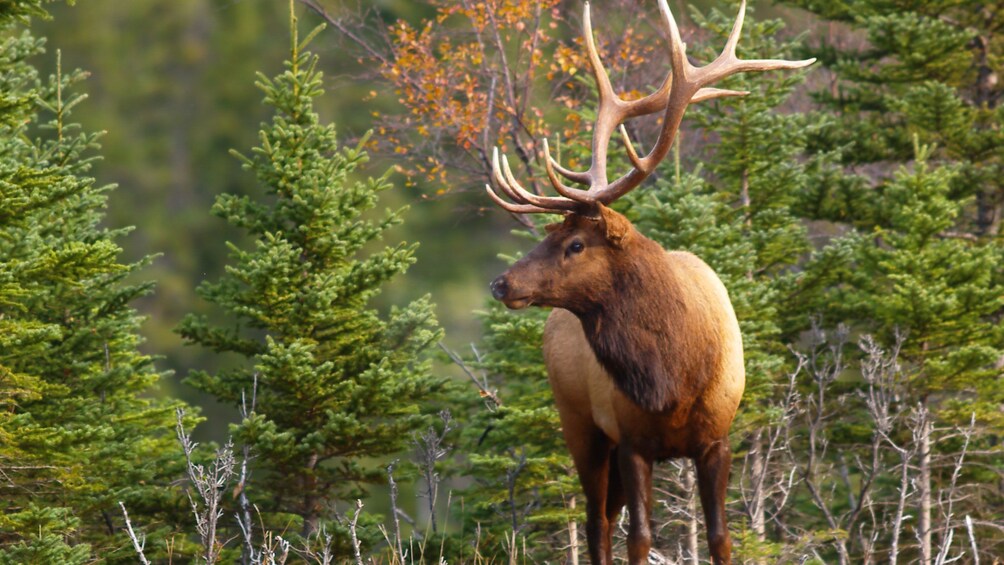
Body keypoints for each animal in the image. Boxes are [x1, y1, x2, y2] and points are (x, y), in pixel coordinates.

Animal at [481, 2, 811, 561]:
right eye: (551, 233)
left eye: (575, 244)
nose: (502, 284)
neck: (674, 375)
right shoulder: (632, 439)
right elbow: (640, 538)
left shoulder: (717, 438)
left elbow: (720, 536)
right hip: (581, 426)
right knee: (596, 523)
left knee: (603, 519)